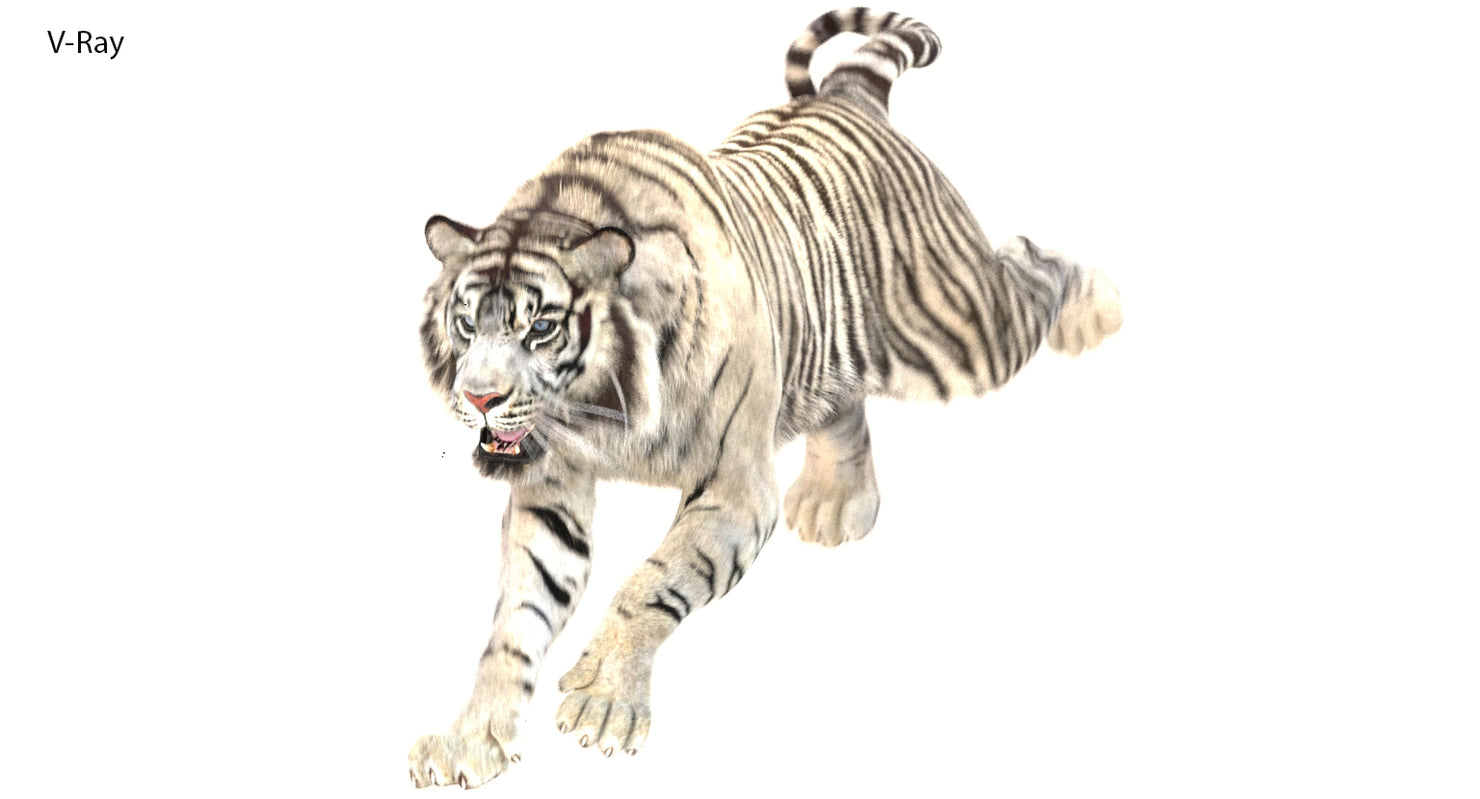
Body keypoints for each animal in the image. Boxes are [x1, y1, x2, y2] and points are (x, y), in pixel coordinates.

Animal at [408, 7, 1122, 789]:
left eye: (539, 328)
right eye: (467, 322)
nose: (480, 398)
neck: (599, 411)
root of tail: (848, 92)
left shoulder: (735, 488)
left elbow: (653, 581)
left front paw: (604, 699)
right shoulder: (551, 485)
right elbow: (518, 617)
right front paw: (471, 737)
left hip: (957, 332)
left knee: (1027, 261)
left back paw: (1097, 308)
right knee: (845, 403)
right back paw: (837, 503)